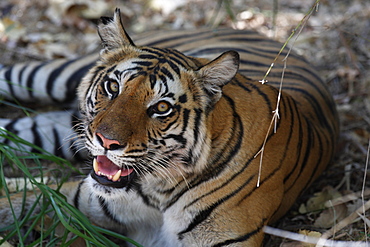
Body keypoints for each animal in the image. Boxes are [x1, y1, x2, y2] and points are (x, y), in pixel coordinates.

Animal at [0, 8, 340, 247]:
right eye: (113, 87)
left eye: (161, 108)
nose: (105, 141)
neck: (159, 192)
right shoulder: (66, 198)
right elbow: (12, 205)